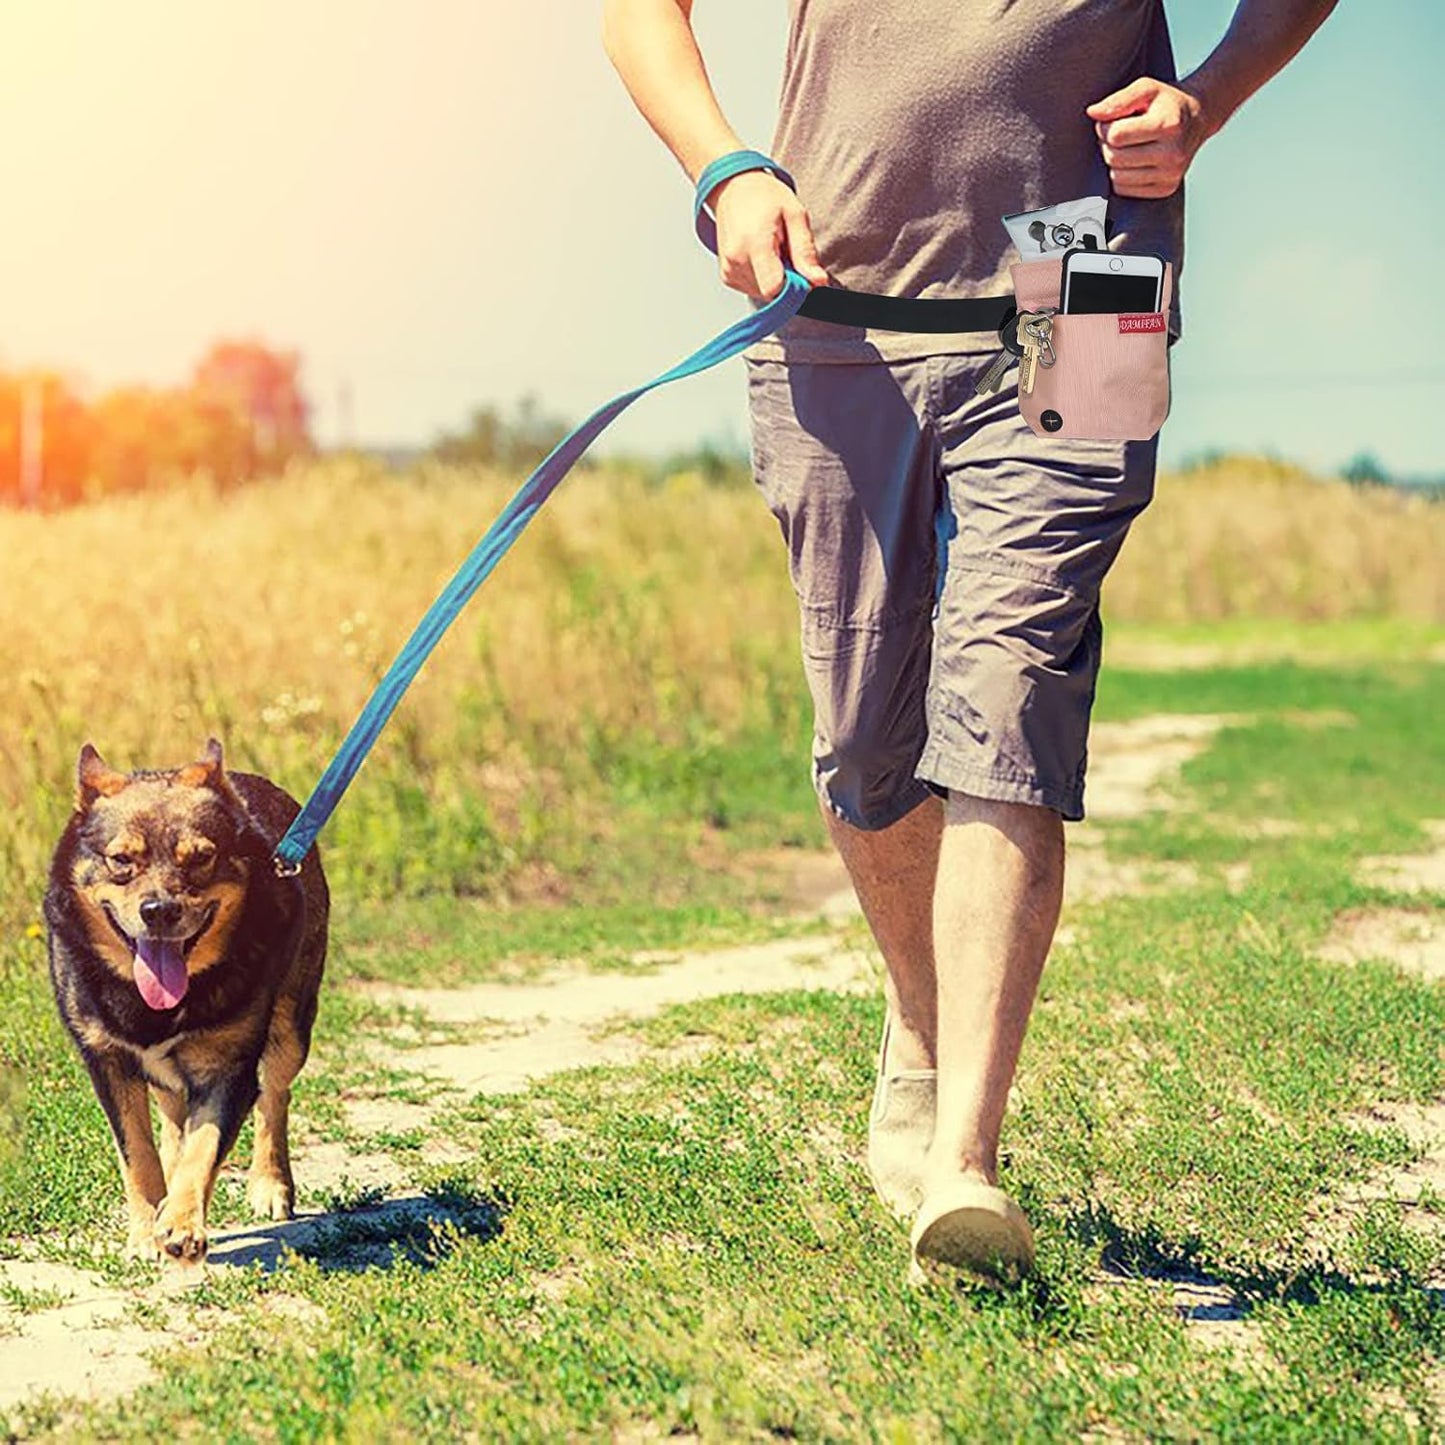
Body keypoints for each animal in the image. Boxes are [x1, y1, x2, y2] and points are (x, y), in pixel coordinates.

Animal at [46, 739, 329, 1260]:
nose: (159, 910)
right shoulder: (108, 1060)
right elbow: (137, 1151)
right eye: (122, 860)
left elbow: (205, 1145)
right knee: (173, 1116)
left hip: (292, 1024)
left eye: (200, 858)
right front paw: (146, 1230)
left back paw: (270, 1183)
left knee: (275, 1094)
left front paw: (180, 1224)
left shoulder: (227, 1066)